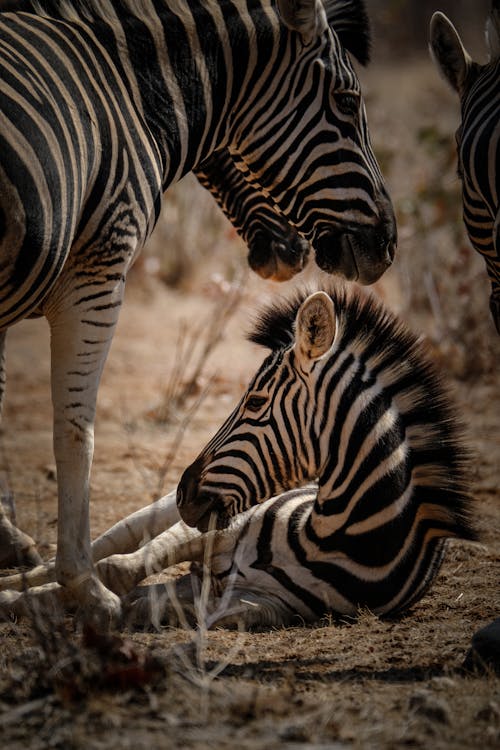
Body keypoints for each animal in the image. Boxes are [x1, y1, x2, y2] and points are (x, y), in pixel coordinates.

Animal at [0, 0, 396, 624]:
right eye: (347, 101)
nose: (386, 244)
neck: (124, 83)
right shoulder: (98, 269)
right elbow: (76, 430)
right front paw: (85, 586)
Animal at [0, 288, 476, 628]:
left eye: (255, 402)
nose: (183, 492)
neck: (328, 536)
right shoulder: (216, 529)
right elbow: (117, 568)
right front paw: (23, 599)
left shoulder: (261, 604)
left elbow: (151, 601)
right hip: (156, 516)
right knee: (97, 547)